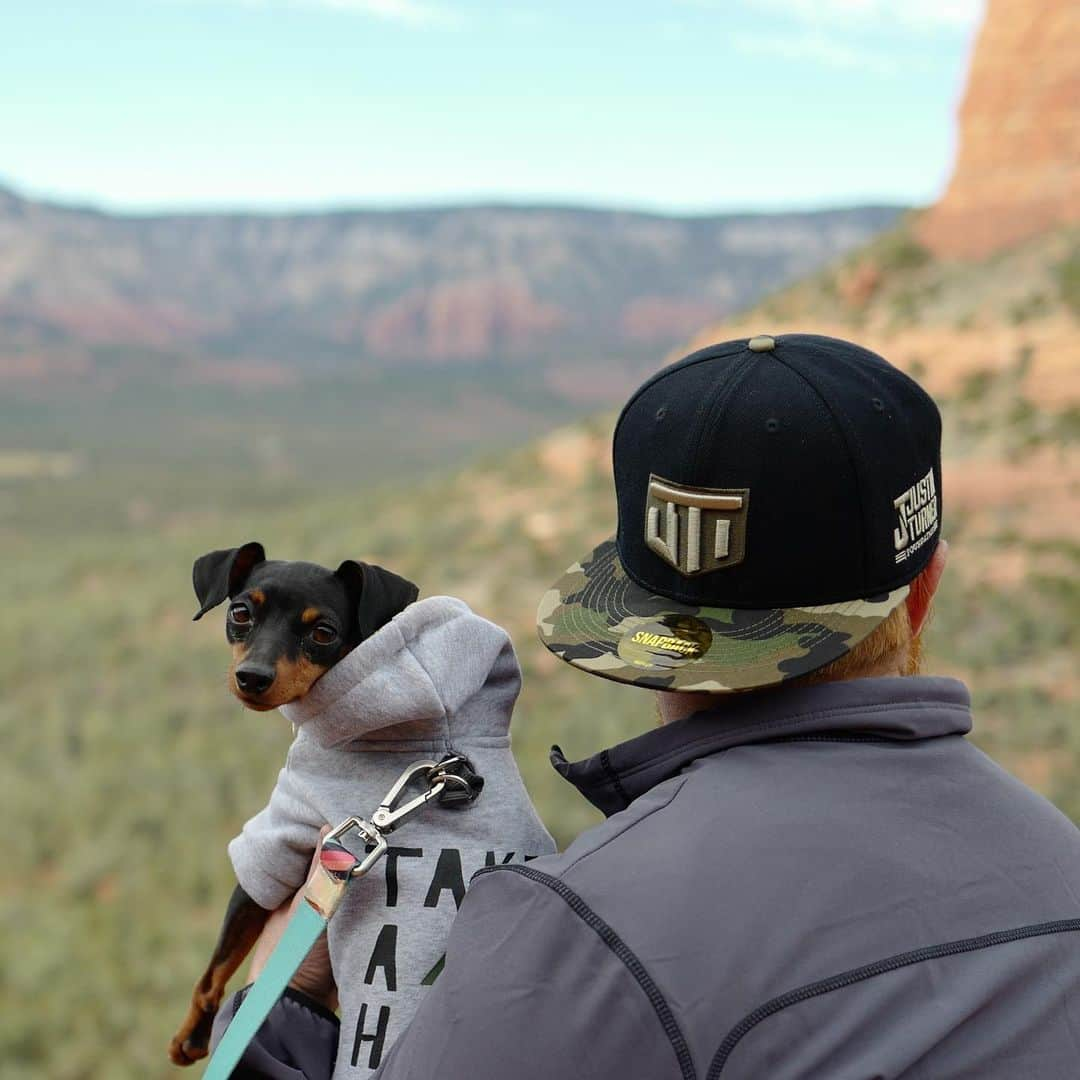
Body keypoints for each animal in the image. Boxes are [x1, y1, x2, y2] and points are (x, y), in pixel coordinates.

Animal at [166, 544, 414, 1067]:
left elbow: (211, 977)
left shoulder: (272, 853)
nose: (251, 677)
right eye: (241, 613)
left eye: (323, 633)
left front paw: (191, 1038)